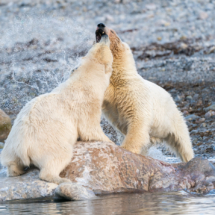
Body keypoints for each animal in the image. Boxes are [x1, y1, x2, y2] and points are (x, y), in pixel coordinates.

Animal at [0, 34, 113, 184]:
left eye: (94, 46)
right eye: (106, 49)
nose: (104, 35)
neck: (83, 83)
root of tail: (22, 146)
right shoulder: (87, 106)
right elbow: (90, 130)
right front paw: (110, 141)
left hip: (11, 145)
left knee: (11, 162)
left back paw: (16, 170)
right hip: (48, 143)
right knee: (59, 156)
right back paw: (61, 179)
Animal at [95, 23, 193, 161]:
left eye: (112, 31)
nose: (100, 24)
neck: (121, 76)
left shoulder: (134, 93)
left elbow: (137, 120)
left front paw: (126, 149)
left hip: (174, 119)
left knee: (183, 144)